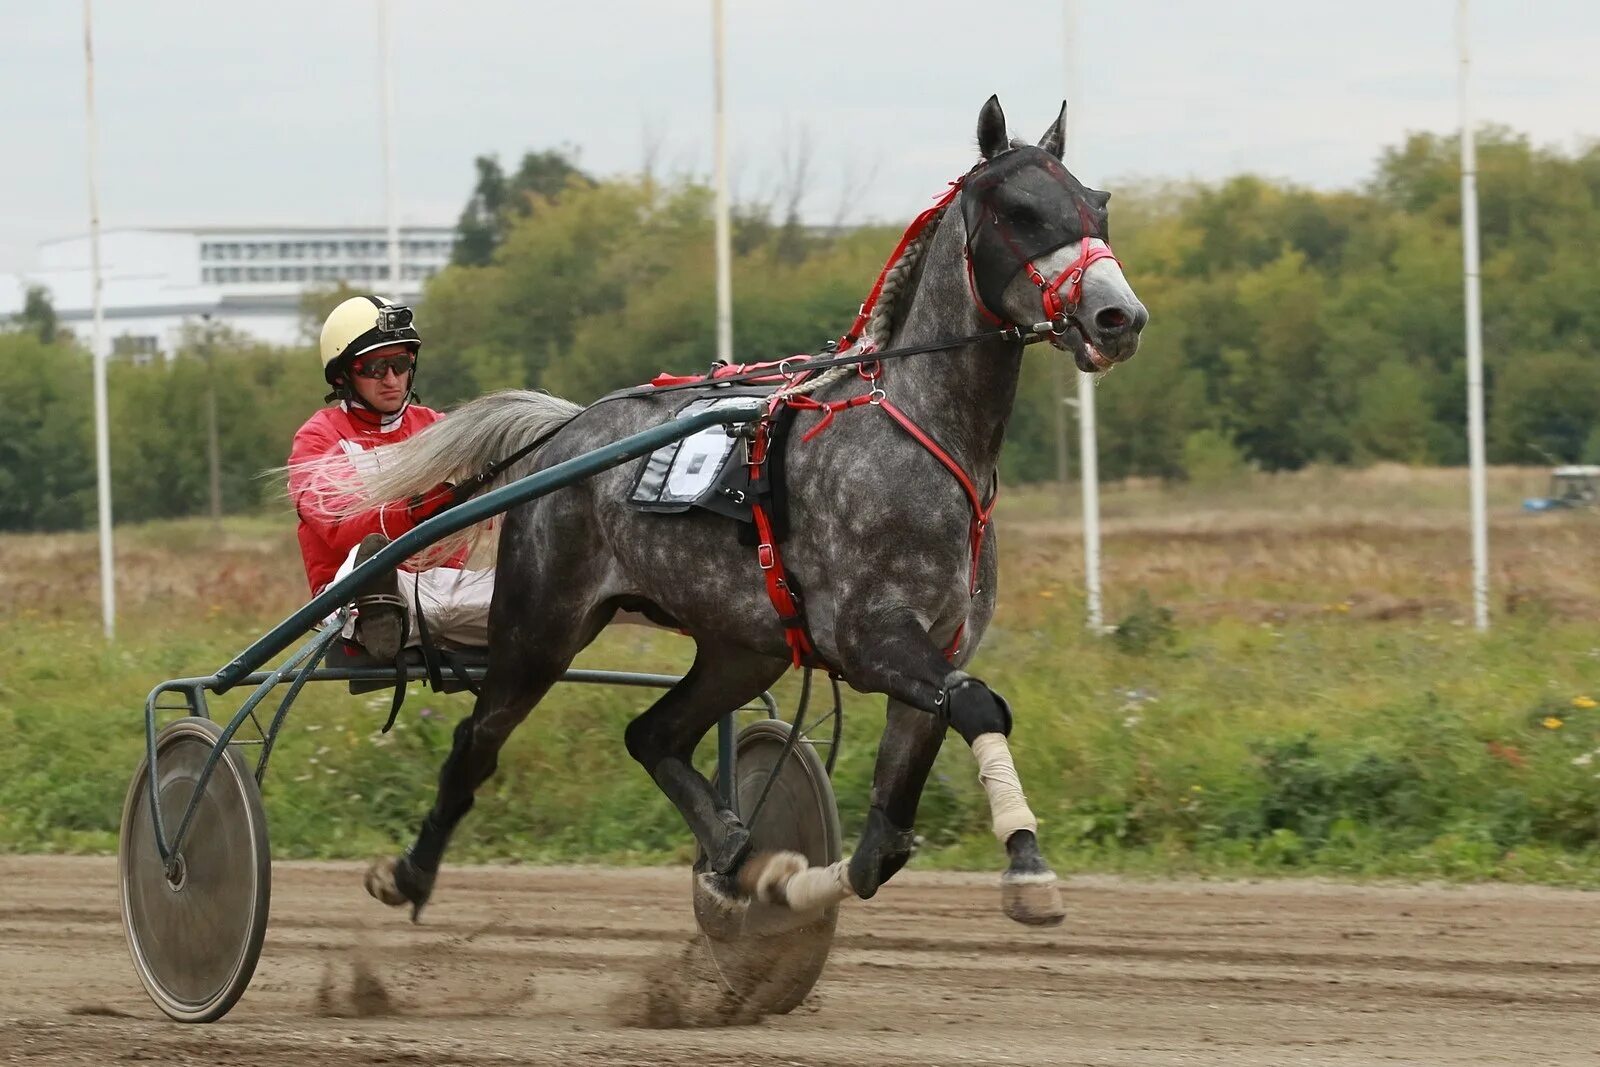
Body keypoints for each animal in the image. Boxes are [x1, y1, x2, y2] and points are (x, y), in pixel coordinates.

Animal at [337, 99, 1145, 927]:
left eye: (1099, 203)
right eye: (1021, 211)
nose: (1118, 316)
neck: (921, 433)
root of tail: (568, 430)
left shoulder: (938, 649)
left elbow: (884, 840)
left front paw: (783, 876)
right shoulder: (868, 636)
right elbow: (980, 705)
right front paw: (1027, 865)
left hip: (742, 645)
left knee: (652, 733)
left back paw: (731, 845)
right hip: (540, 624)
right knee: (479, 737)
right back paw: (410, 872)